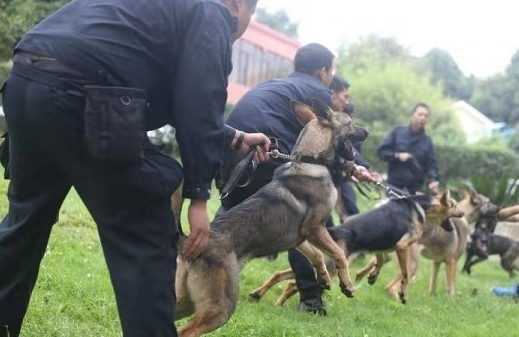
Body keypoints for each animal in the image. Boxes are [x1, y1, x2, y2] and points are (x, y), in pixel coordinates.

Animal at [176, 98, 370, 336]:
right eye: (350, 123)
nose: (367, 132)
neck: (310, 160)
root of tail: (188, 244)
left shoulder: (300, 238)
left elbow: (316, 255)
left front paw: (324, 278)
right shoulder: (314, 228)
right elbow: (338, 254)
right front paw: (347, 286)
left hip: (186, 303)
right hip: (220, 307)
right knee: (185, 331)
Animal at [248, 189, 464, 304]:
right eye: (454, 205)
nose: (462, 214)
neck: (419, 205)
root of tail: (334, 232)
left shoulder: (381, 246)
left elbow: (380, 260)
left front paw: (372, 276)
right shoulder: (402, 246)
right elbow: (404, 274)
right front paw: (403, 293)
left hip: (322, 265)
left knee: (280, 276)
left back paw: (259, 295)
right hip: (331, 269)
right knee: (293, 284)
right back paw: (277, 303)